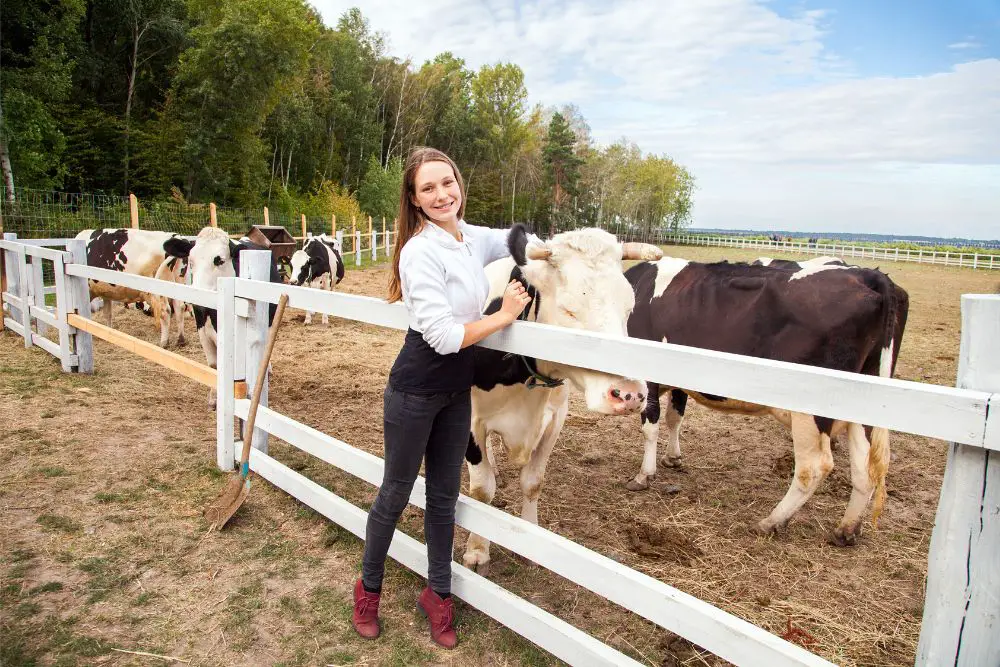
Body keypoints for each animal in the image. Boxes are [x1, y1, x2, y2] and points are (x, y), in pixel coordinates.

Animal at [460, 226, 664, 576]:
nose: (629, 394)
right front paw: (477, 551)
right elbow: (481, 489)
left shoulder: (555, 419)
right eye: (570, 310)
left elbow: (533, 482)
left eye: (629, 308)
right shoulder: (471, 419)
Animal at [628, 258, 912, 548]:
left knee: (814, 466)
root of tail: (870, 275)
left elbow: (651, 426)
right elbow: (675, 418)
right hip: (865, 408)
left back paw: (772, 521)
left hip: (811, 410)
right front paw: (672, 458)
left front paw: (644, 475)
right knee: (865, 469)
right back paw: (846, 530)